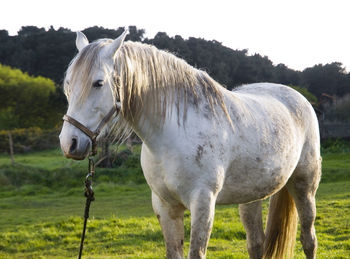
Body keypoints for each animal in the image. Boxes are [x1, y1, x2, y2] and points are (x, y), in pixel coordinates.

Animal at [59, 32, 320, 259]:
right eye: (69, 83)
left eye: (98, 83)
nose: (69, 143)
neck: (173, 136)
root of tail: (298, 98)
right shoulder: (165, 206)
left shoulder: (202, 203)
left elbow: (196, 253)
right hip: (251, 196)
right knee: (256, 243)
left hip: (304, 186)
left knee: (308, 239)